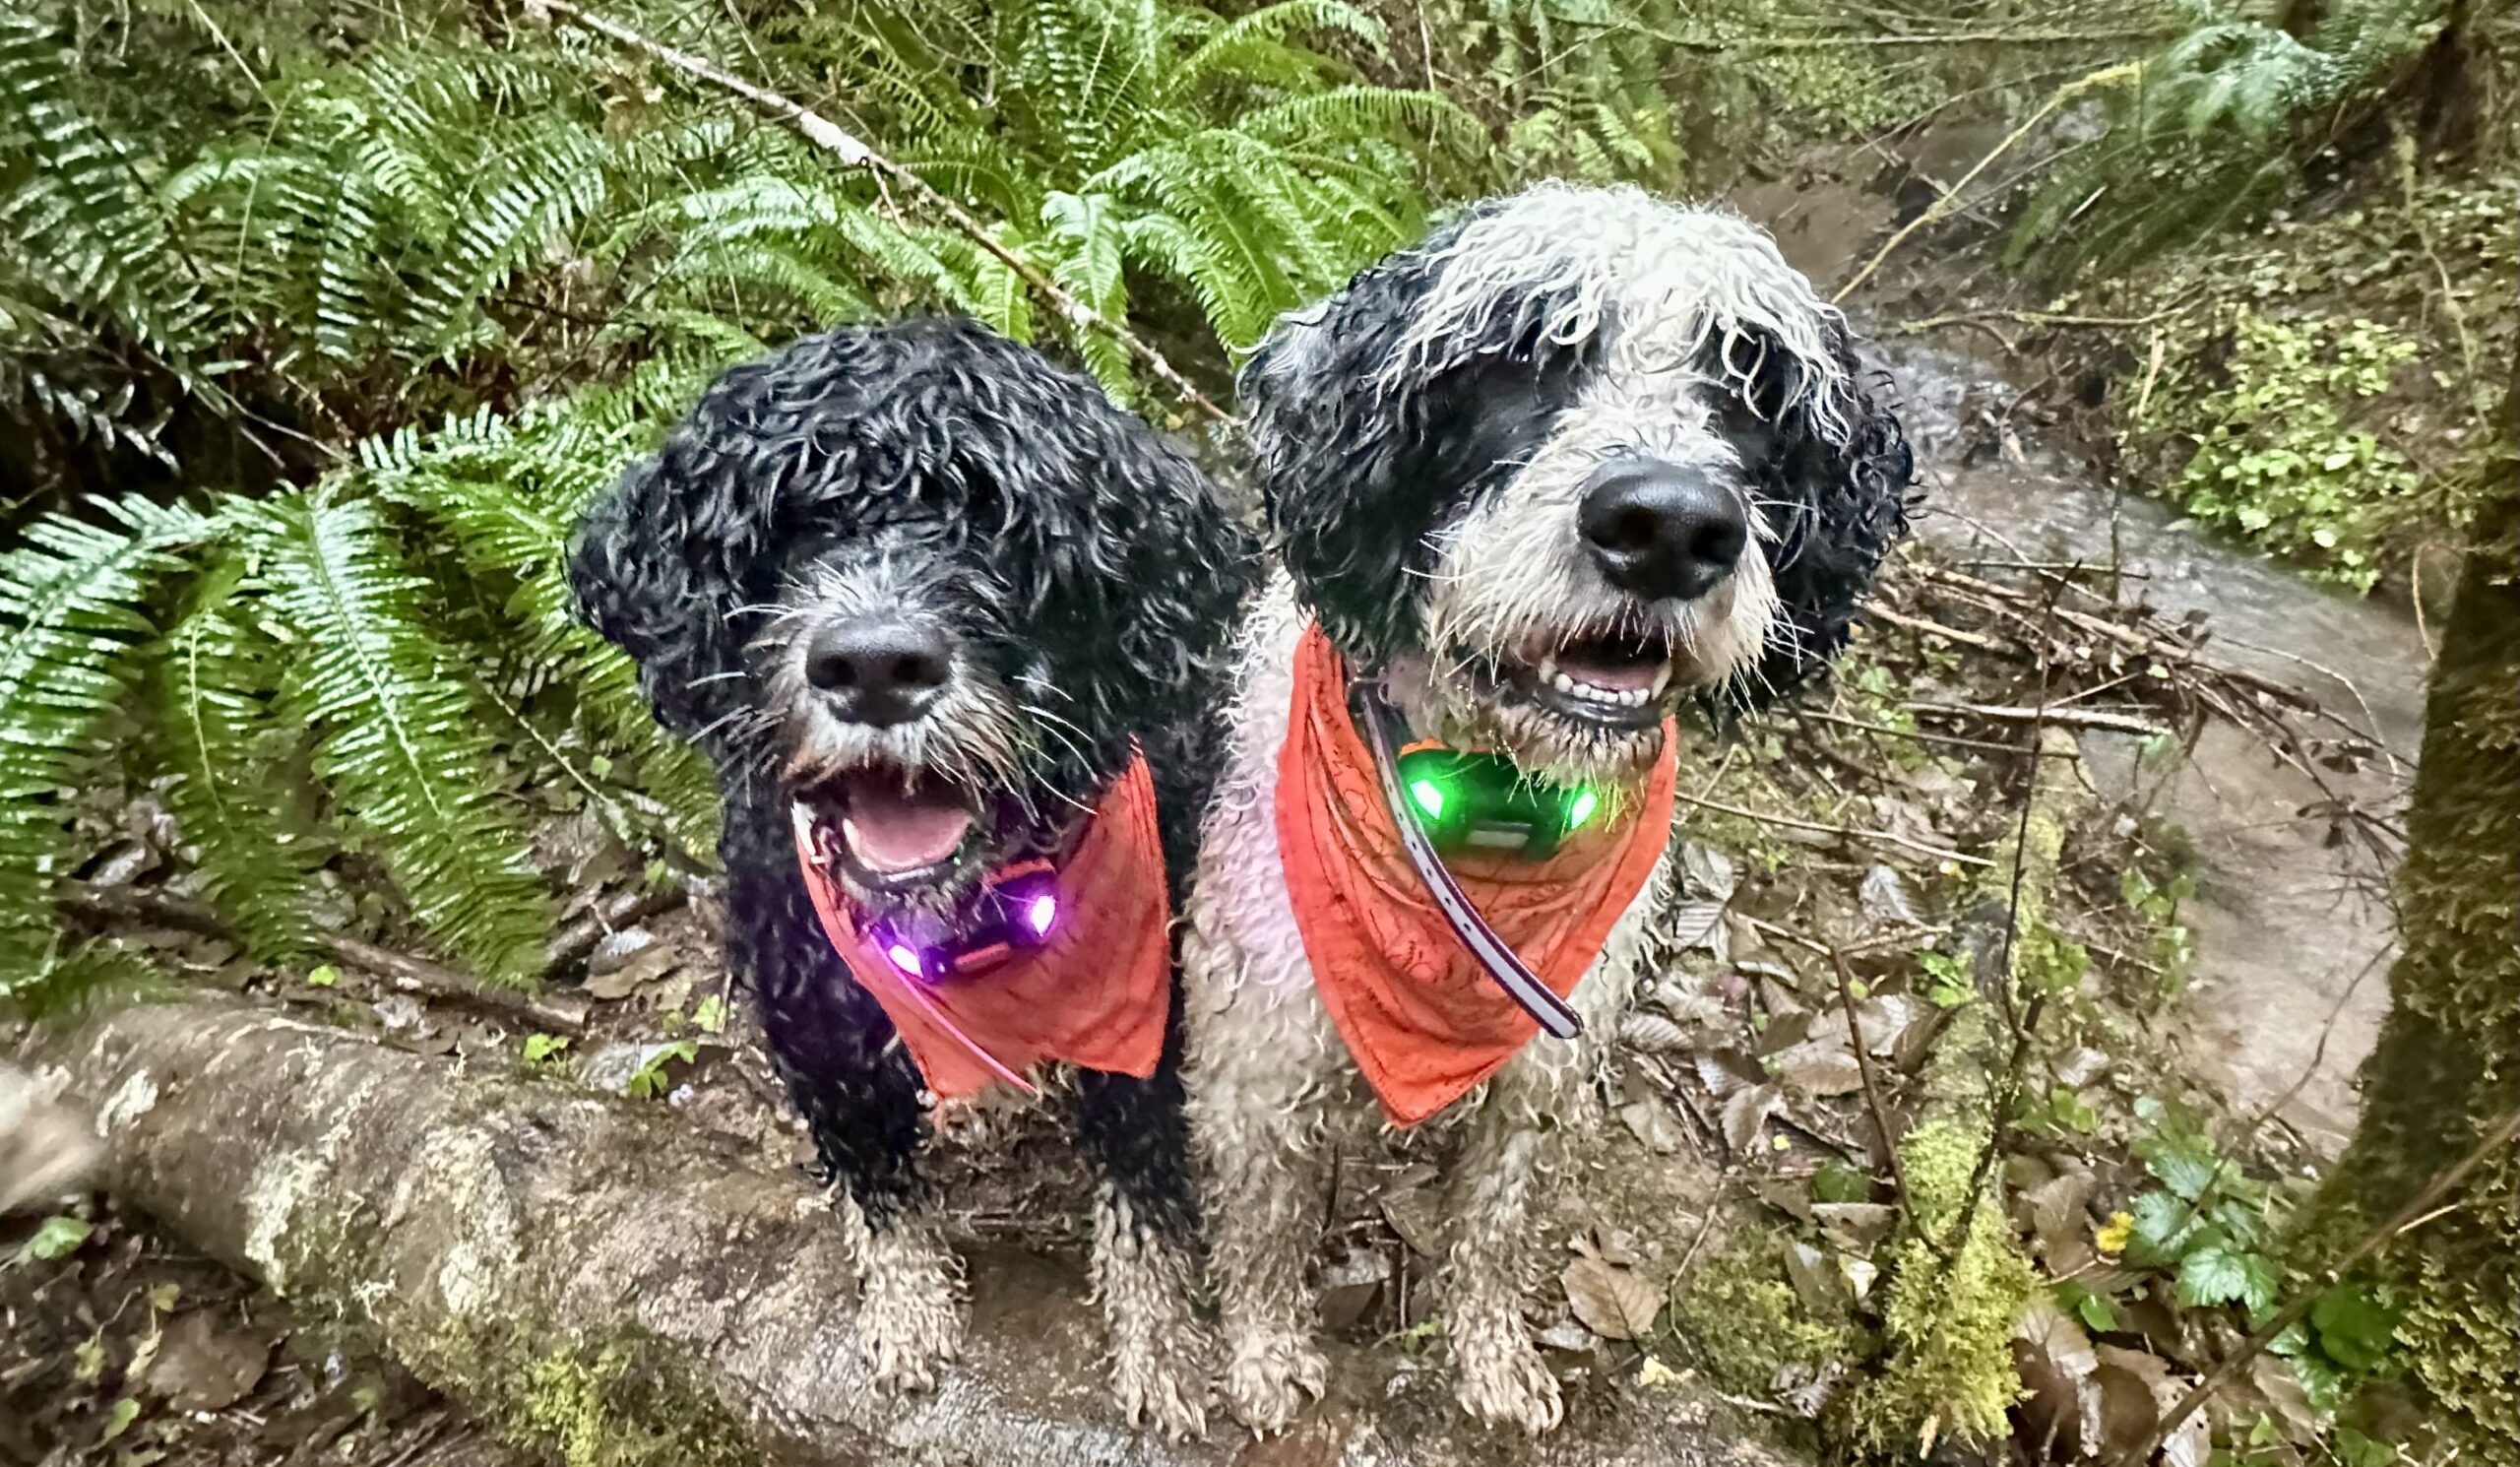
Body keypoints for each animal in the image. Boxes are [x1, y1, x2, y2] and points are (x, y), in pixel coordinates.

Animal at [572, 318, 1260, 1441]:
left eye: (997, 527)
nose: (873, 666)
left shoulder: (1147, 1007)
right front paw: (906, 1310)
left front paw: (1162, 1347)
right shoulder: (815, 1015)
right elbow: (873, 1176)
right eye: (788, 530)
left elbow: (1144, 1188)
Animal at [1179, 183, 1905, 1441]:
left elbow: (1495, 1224)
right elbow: (1264, 1229)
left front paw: (1492, 1359)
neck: (1487, 808)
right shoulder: (1251, 1056)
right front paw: (1266, 1355)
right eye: (1520, 356)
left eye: (1749, 386)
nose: (1669, 526)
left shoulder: (1540, 1072)